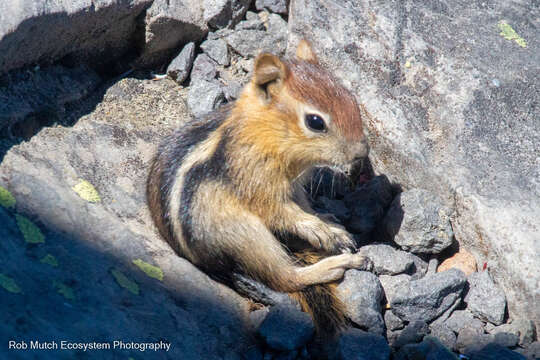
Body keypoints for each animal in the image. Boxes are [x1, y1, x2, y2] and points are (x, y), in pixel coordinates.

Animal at [147, 41, 372, 338]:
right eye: (315, 122)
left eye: (351, 98)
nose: (362, 152)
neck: (264, 132)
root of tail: (211, 266)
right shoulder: (258, 182)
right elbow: (282, 212)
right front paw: (322, 231)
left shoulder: (294, 185)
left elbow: (303, 205)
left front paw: (329, 223)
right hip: (245, 235)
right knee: (285, 278)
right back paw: (339, 264)